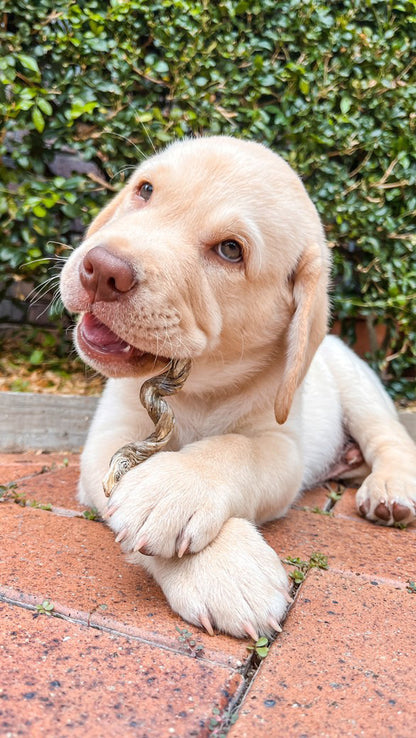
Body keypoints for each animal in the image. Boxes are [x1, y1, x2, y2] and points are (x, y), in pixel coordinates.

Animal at [59, 137, 416, 640]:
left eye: (231, 250)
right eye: (145, 190)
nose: (102, 269)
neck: (199, 387)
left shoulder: (281, 445)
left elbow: (233, 449)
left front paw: (174, 489)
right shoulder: (111, 435)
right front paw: (225, 567)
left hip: (359, 387)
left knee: (391, 439)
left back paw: (388, 489)